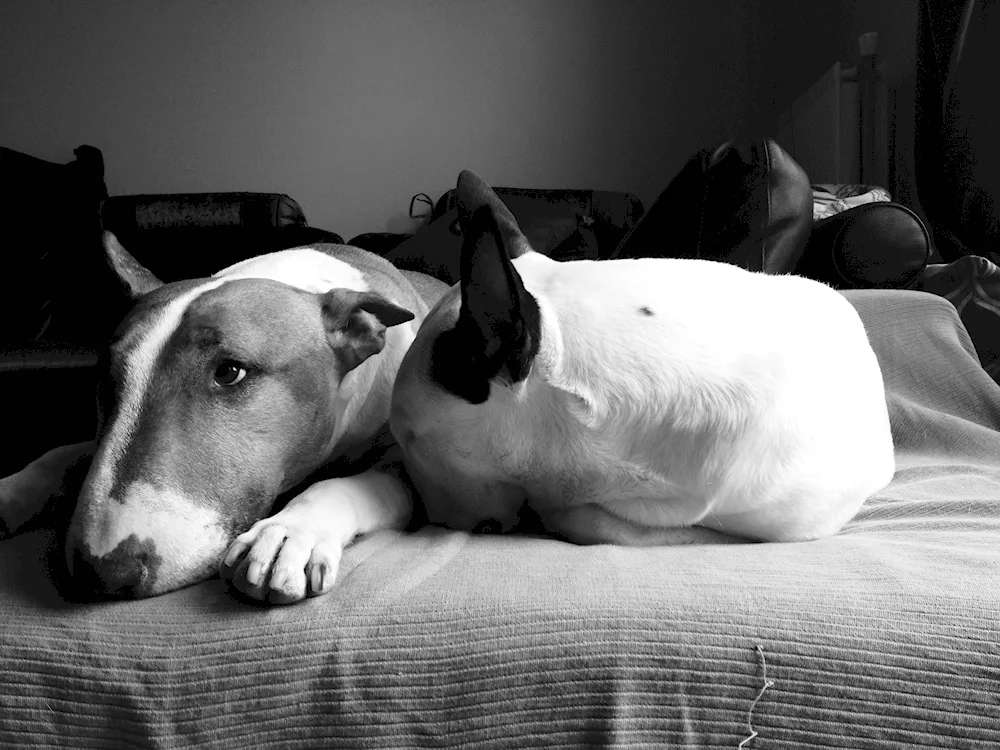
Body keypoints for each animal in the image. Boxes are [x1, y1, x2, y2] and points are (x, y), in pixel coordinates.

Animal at [0, 235, 446, 604]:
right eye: (105, 379)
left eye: (230, 372)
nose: (101, 573)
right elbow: (63, 452)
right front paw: (11, 491)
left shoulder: (416, 474)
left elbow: (354, 483)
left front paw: (288, 533)